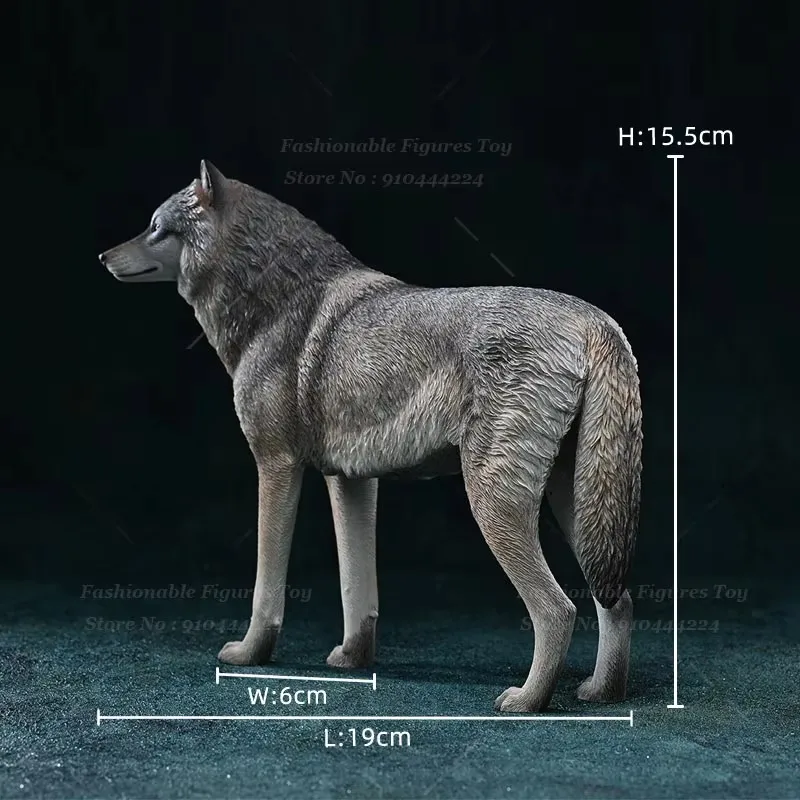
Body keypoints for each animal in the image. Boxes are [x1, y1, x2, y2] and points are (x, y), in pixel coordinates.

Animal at [99, 161, 642, 713]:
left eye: (156, 228)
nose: (103, 256)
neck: (279, 302)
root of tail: (598, 322)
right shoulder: (350, 481)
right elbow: (356, 590)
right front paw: (352, 659)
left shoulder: (276, 466)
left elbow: (265, 586)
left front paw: (251, 654)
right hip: (577, 507)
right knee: (616, 599)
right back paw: (602, 693)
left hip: (496, 503)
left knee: (558, 609)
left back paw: (527, 700)